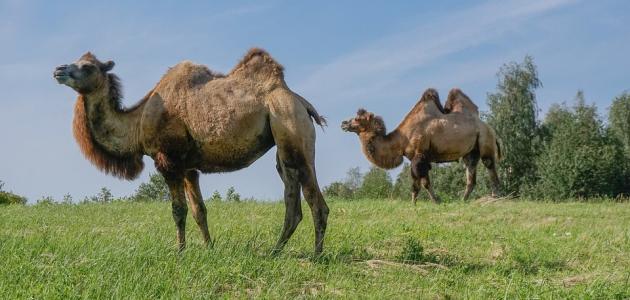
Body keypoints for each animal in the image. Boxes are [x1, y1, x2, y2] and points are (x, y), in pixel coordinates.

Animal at [53, 48, 330, 253]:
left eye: (88, 66)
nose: (58, 70)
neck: (137, 123)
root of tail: (300, 101)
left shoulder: (168, 160)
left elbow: (179, 210)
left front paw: (180, 251)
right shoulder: (188, 167)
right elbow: (199, 210)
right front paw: (209, 248)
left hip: (291, 125)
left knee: (315, 200)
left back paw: (316, 255)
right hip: (283, 145)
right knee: (292, 198)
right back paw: (275, 251)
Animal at [340, 88, 504, 203]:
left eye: (357, 119)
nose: (343, 123)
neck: (402, 139)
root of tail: (489, 128)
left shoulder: (420, 154)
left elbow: (422, 182)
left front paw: (436, 201)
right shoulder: (414, 157)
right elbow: (416, 183)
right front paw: (414, 204)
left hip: (485, 139)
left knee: (489, 164)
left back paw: (496, 195)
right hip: (471, 151)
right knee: (471, 172)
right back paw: (463, 200)